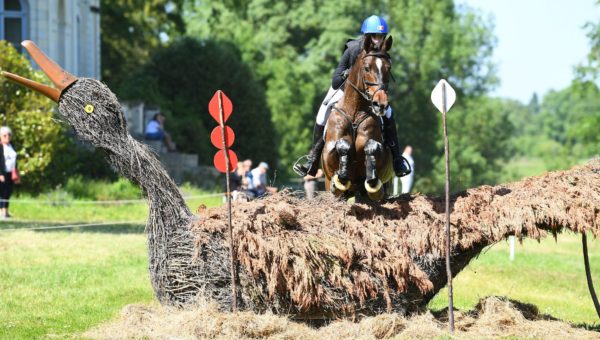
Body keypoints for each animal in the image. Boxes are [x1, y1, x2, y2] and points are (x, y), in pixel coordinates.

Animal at [324, 35, 394, 201]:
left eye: (388, 68)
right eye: (367, 68)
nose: (381, 104)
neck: (355, 112)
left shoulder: (384, 157)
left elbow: (372, 147)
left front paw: (373, 182)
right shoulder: (328, 155)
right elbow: (342, 145)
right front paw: (340, 180)